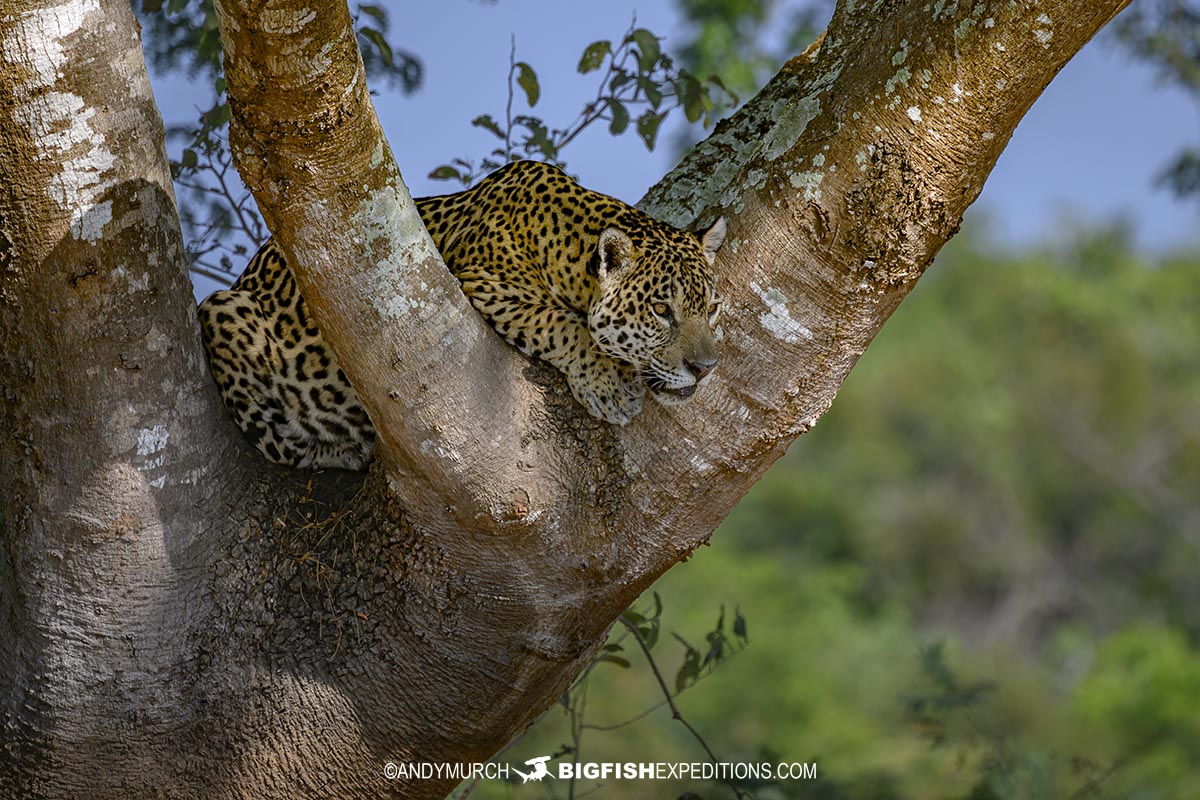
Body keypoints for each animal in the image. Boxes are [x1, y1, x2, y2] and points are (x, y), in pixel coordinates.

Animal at [197, 160, 726, 470]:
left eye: (712, 308)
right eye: (662, 310)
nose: (705, 369)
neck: (565, 246)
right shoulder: (479, 284)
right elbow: (559, 325)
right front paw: (608, 384)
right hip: (221, 308)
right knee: (279, 443)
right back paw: (344, 450)